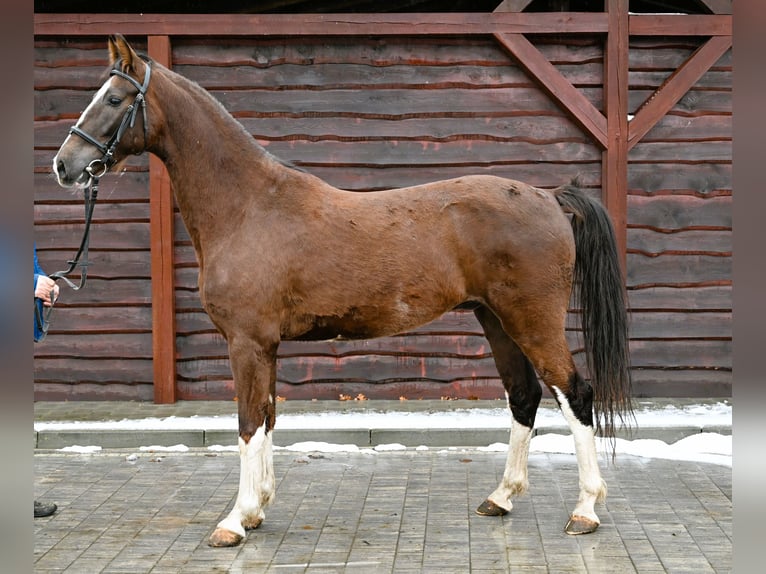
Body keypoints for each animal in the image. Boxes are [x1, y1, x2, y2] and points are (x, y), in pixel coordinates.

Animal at [52, 34, 632, 547]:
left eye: (115, 98)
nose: (64, 165)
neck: (249, 207)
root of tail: (550, 197)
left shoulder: (247, 343)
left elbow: (247, 423)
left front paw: (234, 521)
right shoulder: (266, 345)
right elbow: (267, 416)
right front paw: (257, 509)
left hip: (531, 320)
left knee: (575, 394)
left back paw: (585, 510)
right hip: (495, 320)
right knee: (524, 396)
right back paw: (502, 497)